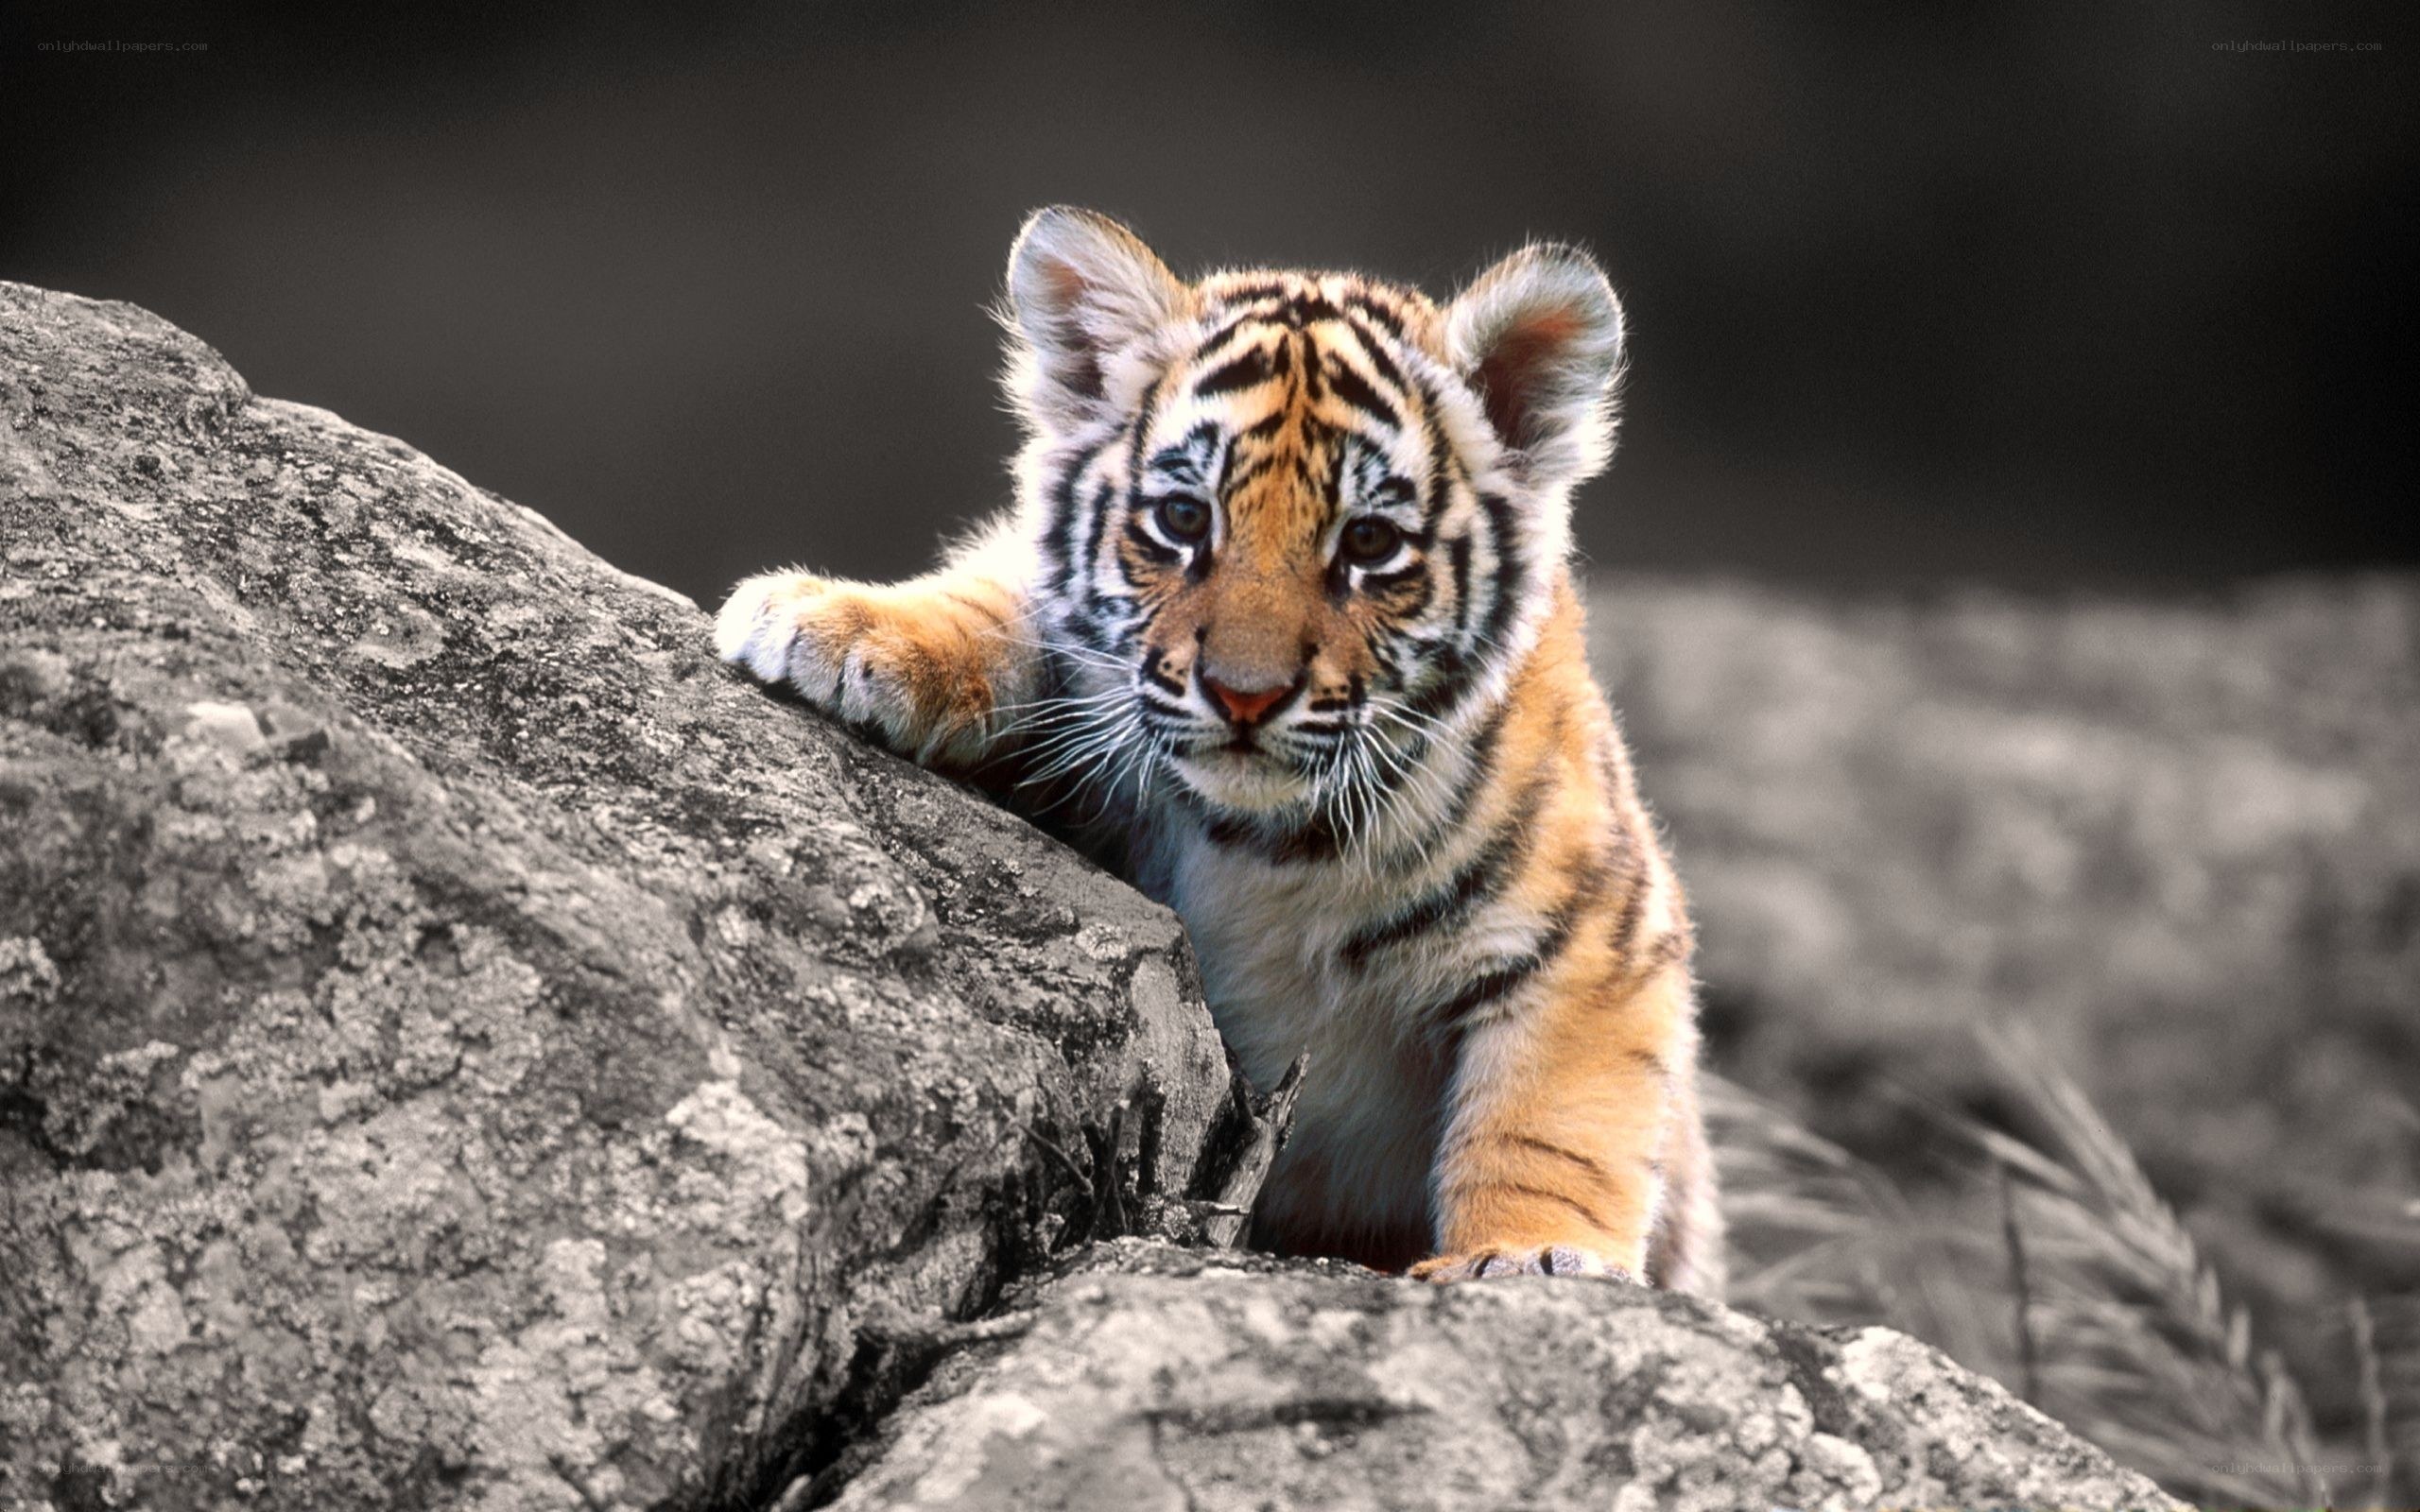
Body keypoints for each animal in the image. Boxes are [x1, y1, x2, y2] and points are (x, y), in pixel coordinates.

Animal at [716, 207, 1722, 1294]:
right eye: (1182, 518)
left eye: (1369, 544)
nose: (1245, 694)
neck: (1266, 844)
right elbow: (1001, 600)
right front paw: (833, 624)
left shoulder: (1598, 936)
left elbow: (1549, 1123)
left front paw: (1529, 1257)